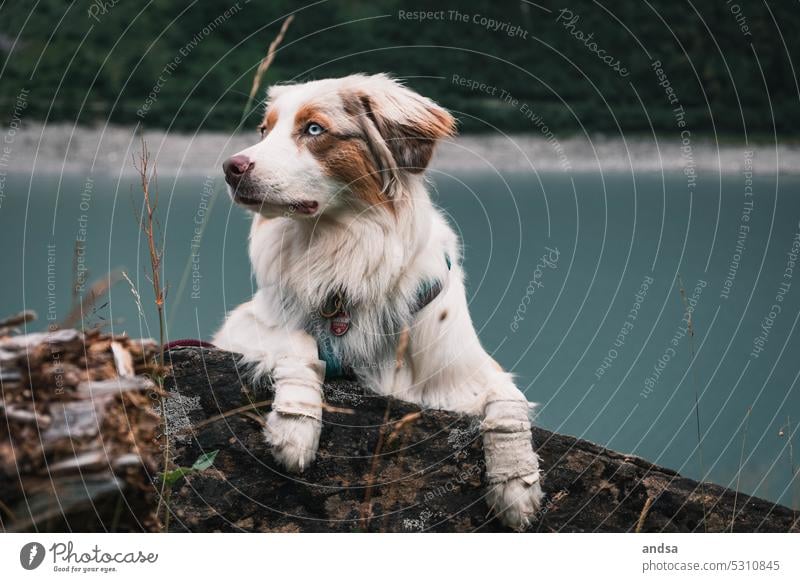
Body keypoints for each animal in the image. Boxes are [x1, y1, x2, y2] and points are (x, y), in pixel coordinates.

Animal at [212, 75, 544, 532]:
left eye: (313, 129)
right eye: (265, 131)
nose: (231, 167)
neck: (343, 246)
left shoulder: (465, 372)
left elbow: (509, 401)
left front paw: (516, 483)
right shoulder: (242, 324)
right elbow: (299, 342)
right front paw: (295, 427)